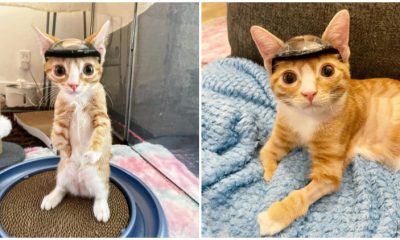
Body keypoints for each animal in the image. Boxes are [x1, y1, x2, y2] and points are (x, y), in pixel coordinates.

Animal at [33, 21, 112, 222]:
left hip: (99, 178)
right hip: (62, 173)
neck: (78, 100)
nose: (74, 85)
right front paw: (62, 147)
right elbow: (57, 130)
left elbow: (100, 132)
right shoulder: (61, 113)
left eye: (88, 69)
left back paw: (101, 208)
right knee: (62, 188)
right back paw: (52, 197)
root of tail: (80, 188)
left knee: (101, 194)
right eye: (59, 70)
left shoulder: (102, 116)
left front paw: (91, 153)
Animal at [252, 9, 400, 236]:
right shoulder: (283, 129)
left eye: (327, 71)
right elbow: (266, 152)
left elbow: (302, 194)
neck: (307, 120)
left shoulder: (328, 172)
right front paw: (271, 175)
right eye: (288, 77)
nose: (309, 93)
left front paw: (274, 216)